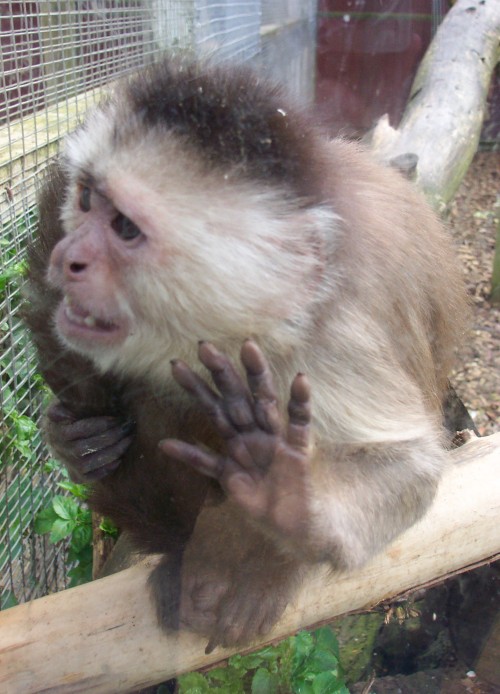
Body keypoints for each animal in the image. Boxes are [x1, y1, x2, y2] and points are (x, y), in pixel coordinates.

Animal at [25, 58, 466, 652]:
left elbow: (410, 468)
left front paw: (286, 497)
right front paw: (77, 439)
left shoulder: (332, 336)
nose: (68, 256)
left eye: (125, 228)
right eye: (87, 199)